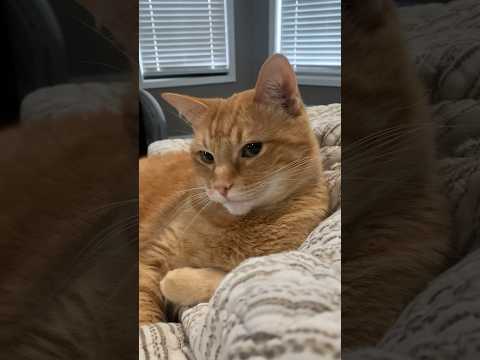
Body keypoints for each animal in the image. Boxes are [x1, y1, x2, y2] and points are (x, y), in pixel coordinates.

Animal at [139, 54, 330, 324]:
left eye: (252, 149)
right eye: (207, 156)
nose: (220, 187)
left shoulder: (277, 257)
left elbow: (229, 274)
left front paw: (177, 280)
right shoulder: (148, 259)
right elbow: (146, 315)